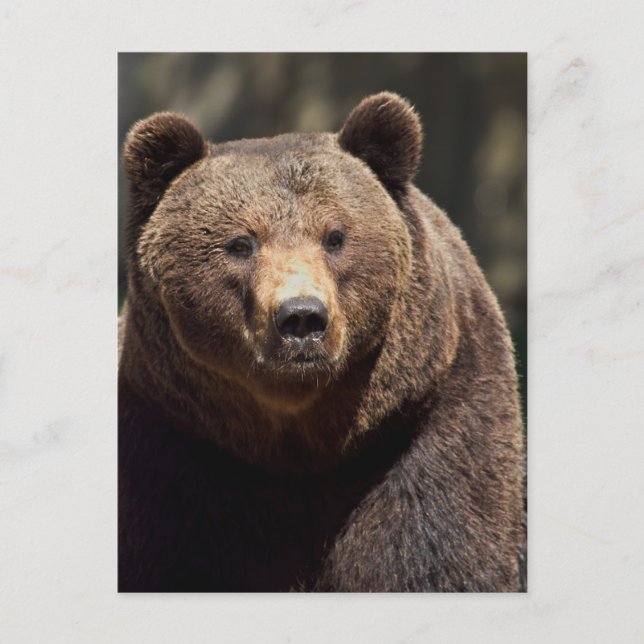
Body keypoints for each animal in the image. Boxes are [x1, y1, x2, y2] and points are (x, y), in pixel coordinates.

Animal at [118, 92, 526, 592]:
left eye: (335, 236)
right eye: (241, 243)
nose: (301, 317)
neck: (305, 449)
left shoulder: (431, 422)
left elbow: (437, 557)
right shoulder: (169, 452)